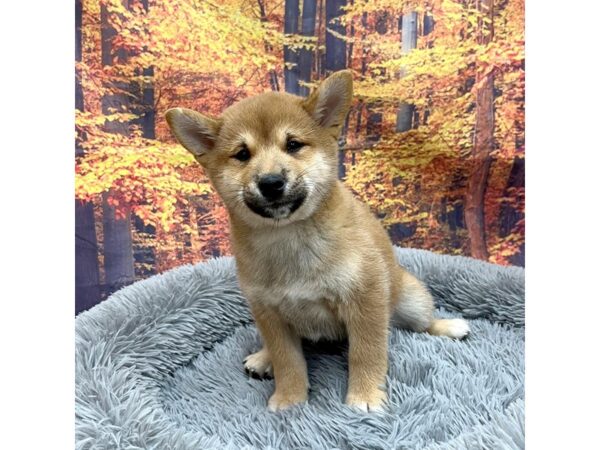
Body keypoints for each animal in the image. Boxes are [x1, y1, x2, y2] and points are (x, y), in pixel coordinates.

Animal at [164, 70, 468, 412]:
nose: (271, 182)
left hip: (412, 301)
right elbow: (287, 361)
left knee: (421, 324)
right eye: (242, 154)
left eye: (293, 144)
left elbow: (366, 352)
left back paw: (448, 327)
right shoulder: (269, 313)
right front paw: (290, 399)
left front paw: (364, 396)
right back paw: (263, 358)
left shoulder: (366, 299)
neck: (288, 237)